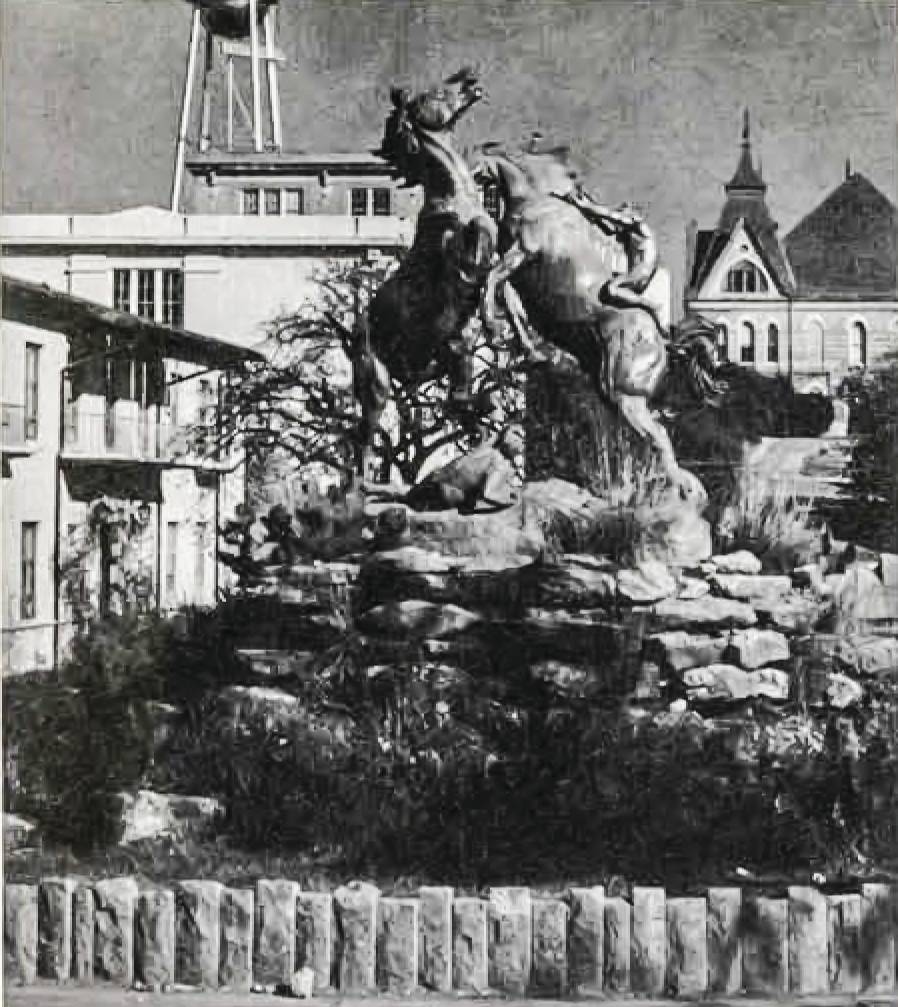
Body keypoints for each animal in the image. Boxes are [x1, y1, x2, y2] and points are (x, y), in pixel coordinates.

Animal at [350, 73, 497, 465]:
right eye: (435, 94)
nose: (470, 77)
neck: (453, 196)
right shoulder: (453, 250)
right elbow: (476, 246)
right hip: (377, 384)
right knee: (363, 442)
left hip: (441, 355)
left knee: (457, 398)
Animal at [477, 146, 716, 483]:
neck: (536, 199)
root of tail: (666, 344)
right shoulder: (518, 269)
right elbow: (507, 297)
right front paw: (523, 346)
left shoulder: (525, 251)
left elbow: (492, 279)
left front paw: (492, 326)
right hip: (613, 393)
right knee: (655, 431)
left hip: (625, 396)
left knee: (659, 436)